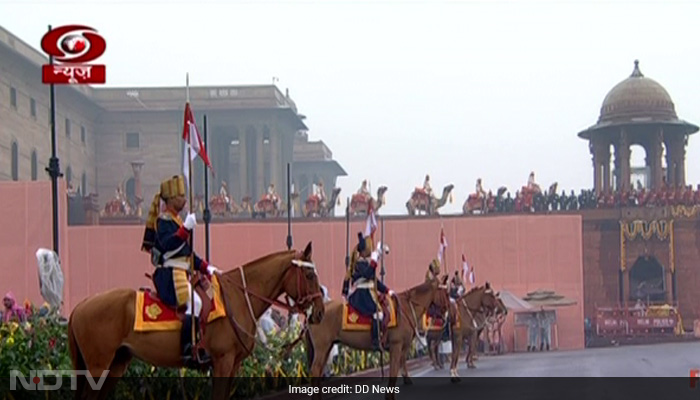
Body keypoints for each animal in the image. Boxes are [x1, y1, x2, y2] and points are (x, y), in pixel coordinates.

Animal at [68, 241, 326, 400]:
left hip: (117, 363)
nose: (321, 312)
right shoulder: (223, 361)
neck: (238, 297)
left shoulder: (233, 365)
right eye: (309, 275)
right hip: (98, 367)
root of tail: (80, 306)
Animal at [304, 278, 448, 400]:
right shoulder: (396, 345)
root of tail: (314, 312)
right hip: (322, 347)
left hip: (327, 347)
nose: (446, 314)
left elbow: (400, 363)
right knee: (315, 370)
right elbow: (394, 368)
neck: (406, 307)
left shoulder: (402, 347)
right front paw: (390, 394)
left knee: (318, 371)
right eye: (445, 293)